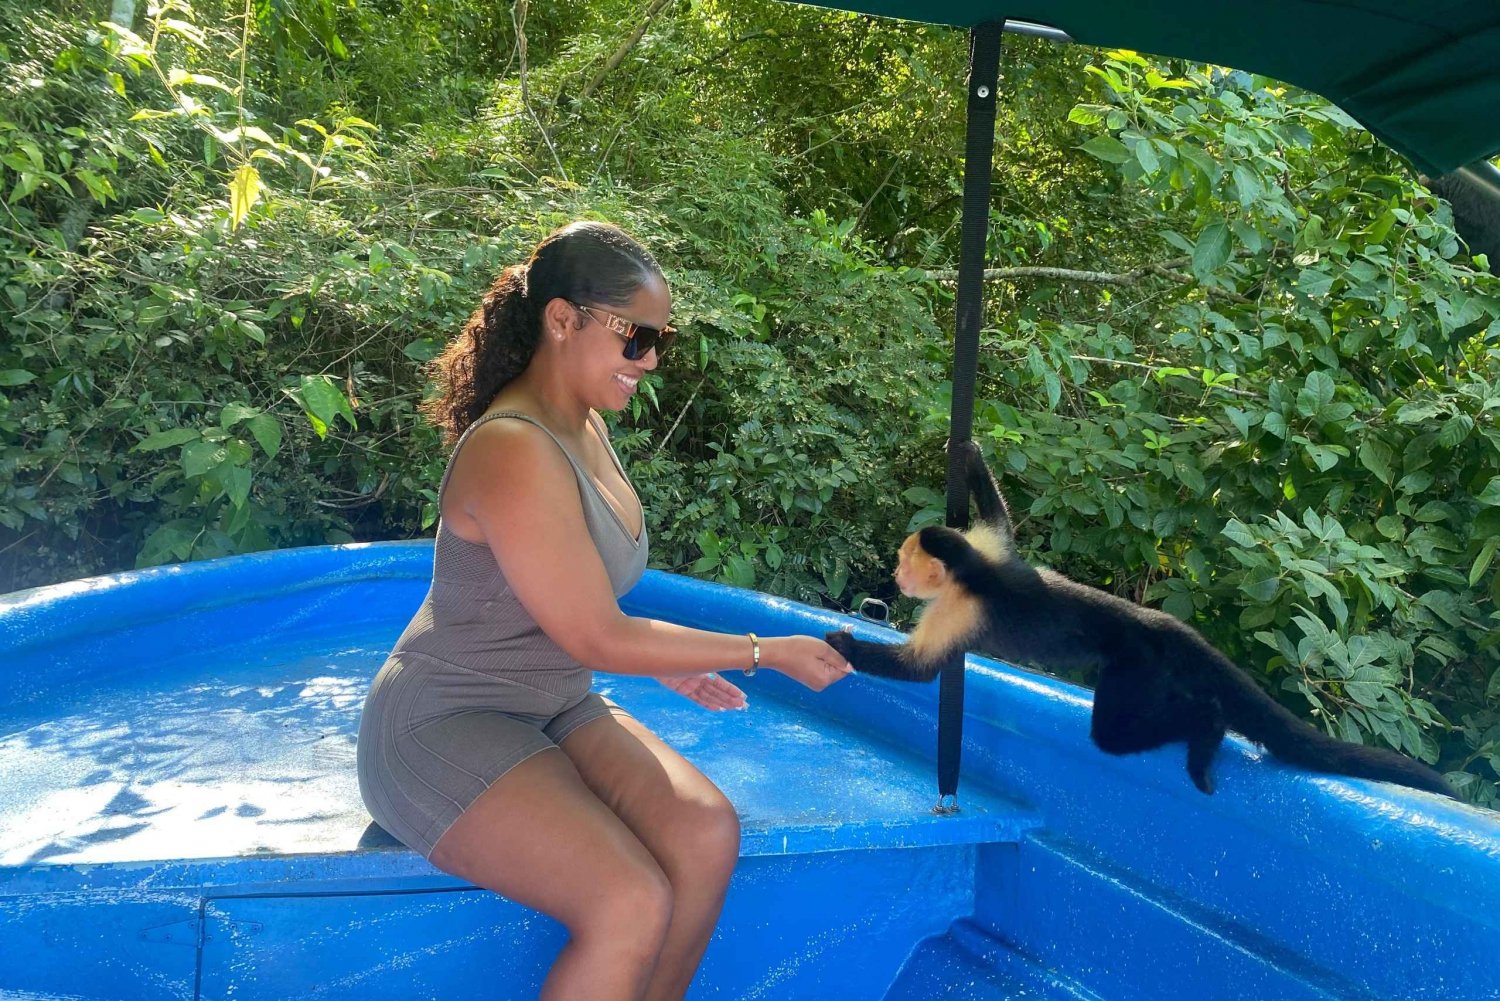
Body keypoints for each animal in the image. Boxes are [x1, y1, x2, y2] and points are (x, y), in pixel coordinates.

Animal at [828, 444, 1458, 798]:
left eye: (905, 562)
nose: (896, 572)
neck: (968, 574)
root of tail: (1155, 623)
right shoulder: (988, 549)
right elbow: (1000, 519)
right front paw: (971, 454)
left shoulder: (959, 603)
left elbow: (919, 669)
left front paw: (842, 646)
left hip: (1140, 668)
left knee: (1118, 732)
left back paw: (1207, 727)